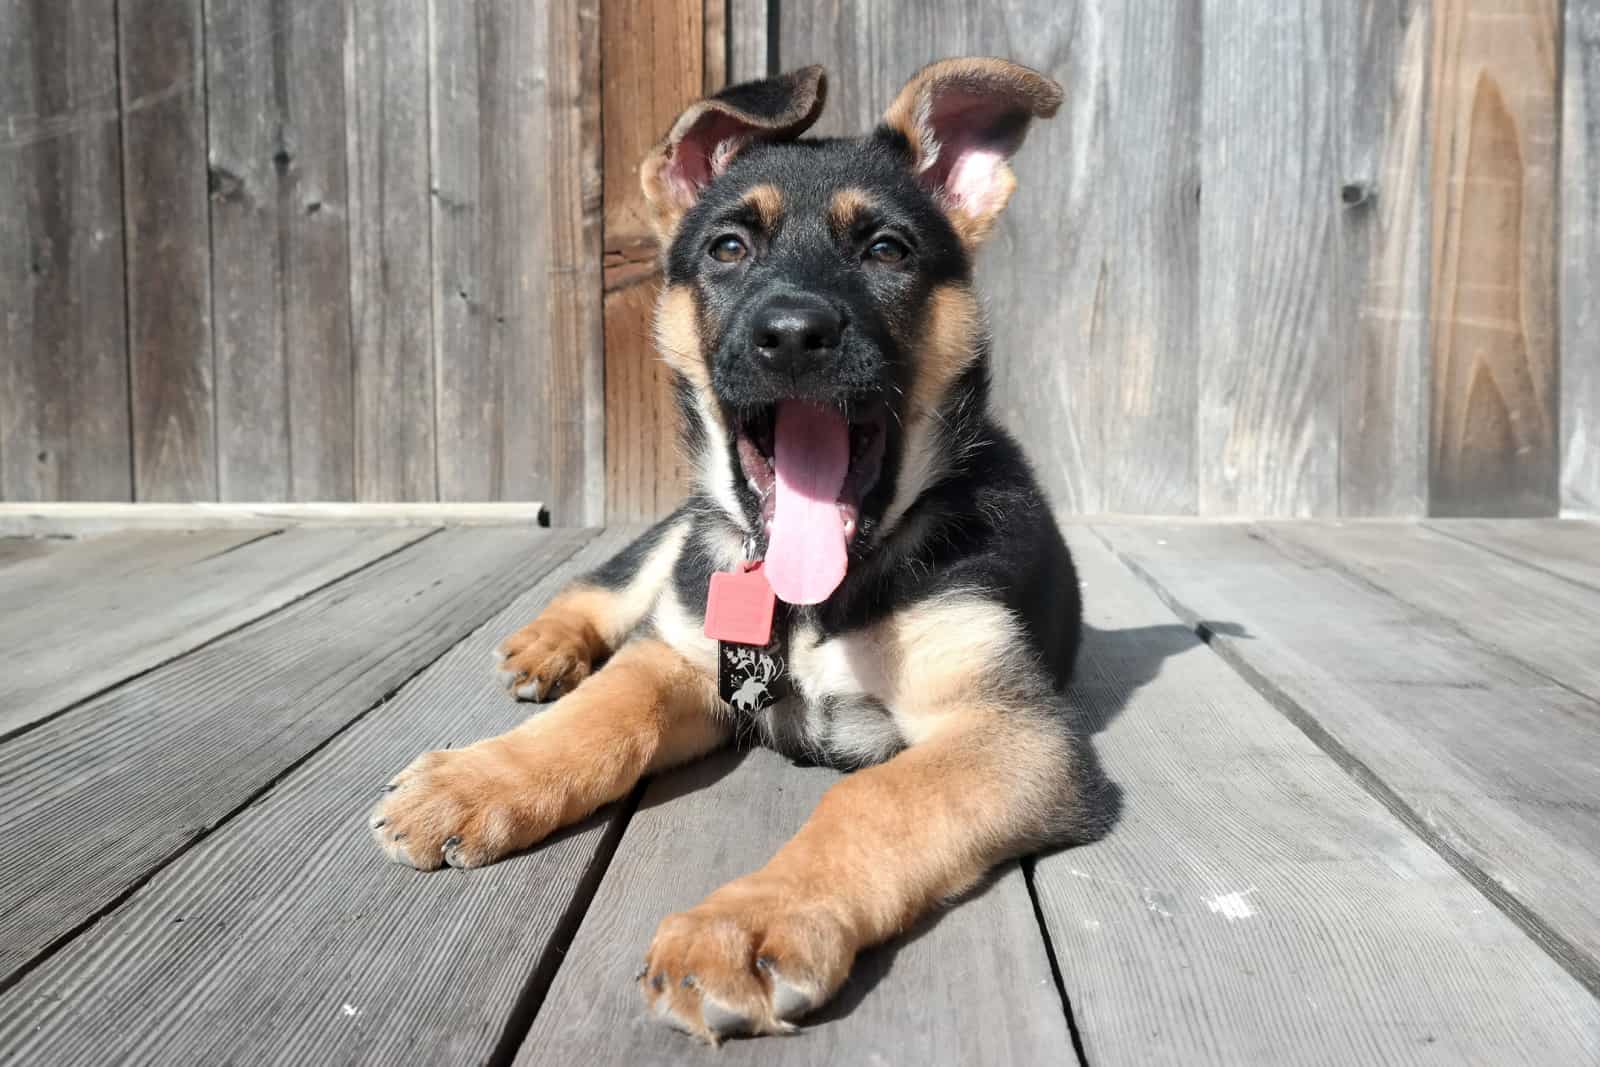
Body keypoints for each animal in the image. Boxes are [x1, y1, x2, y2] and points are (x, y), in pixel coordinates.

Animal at [374, 58, 1088, 1043]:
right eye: (726, 249)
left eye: (889, 251)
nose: (791, 336)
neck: (815, 600)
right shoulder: (681, 652)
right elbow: (603, 712)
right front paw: (477, 780)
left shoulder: (1010, 729)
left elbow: (873, 798)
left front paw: (745, 924)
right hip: (683, 542)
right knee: (609, 585)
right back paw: (545, 647)